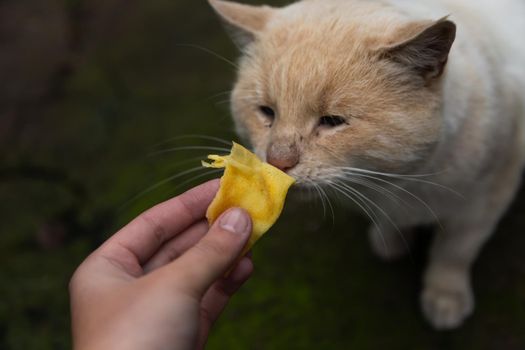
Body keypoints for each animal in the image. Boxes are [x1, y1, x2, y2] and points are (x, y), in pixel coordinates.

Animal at [208, 0, 524, 328]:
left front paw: (445, 297)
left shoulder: (485, 201)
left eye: (332, 121)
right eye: (266, 112)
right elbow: (392, 225)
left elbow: (453, 253)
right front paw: (391, 241)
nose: (278, 161)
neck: (398, 183)